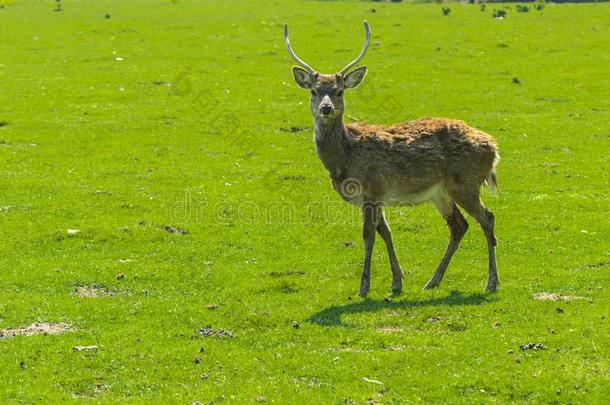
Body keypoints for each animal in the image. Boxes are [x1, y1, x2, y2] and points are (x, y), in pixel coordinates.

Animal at [282, 20, 496, 296]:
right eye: (313, 91)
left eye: (339, 91)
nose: (326, 108)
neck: (345, 159)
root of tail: (493, 147)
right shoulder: (377, 196)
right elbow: (386, 232)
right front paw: (397, 282)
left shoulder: (372, 188)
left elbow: (368, 235)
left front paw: (364, 287)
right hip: (441, 192)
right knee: (459, 225)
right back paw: (433, 280)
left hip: (466, 183)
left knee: (487, 218)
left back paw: (491, 282)